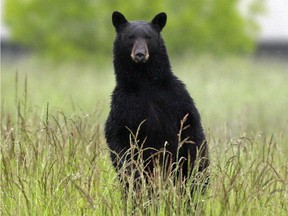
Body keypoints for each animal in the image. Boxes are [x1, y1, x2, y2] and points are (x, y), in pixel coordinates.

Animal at [104, 11, 208, 191]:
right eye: (131, 37)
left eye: (148, 37)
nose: (140, 54)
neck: (145, 82)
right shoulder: (123, 105)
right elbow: (118, 137)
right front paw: (131, 171)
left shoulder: (177, 99)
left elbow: (192, 130)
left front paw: (195, 166)